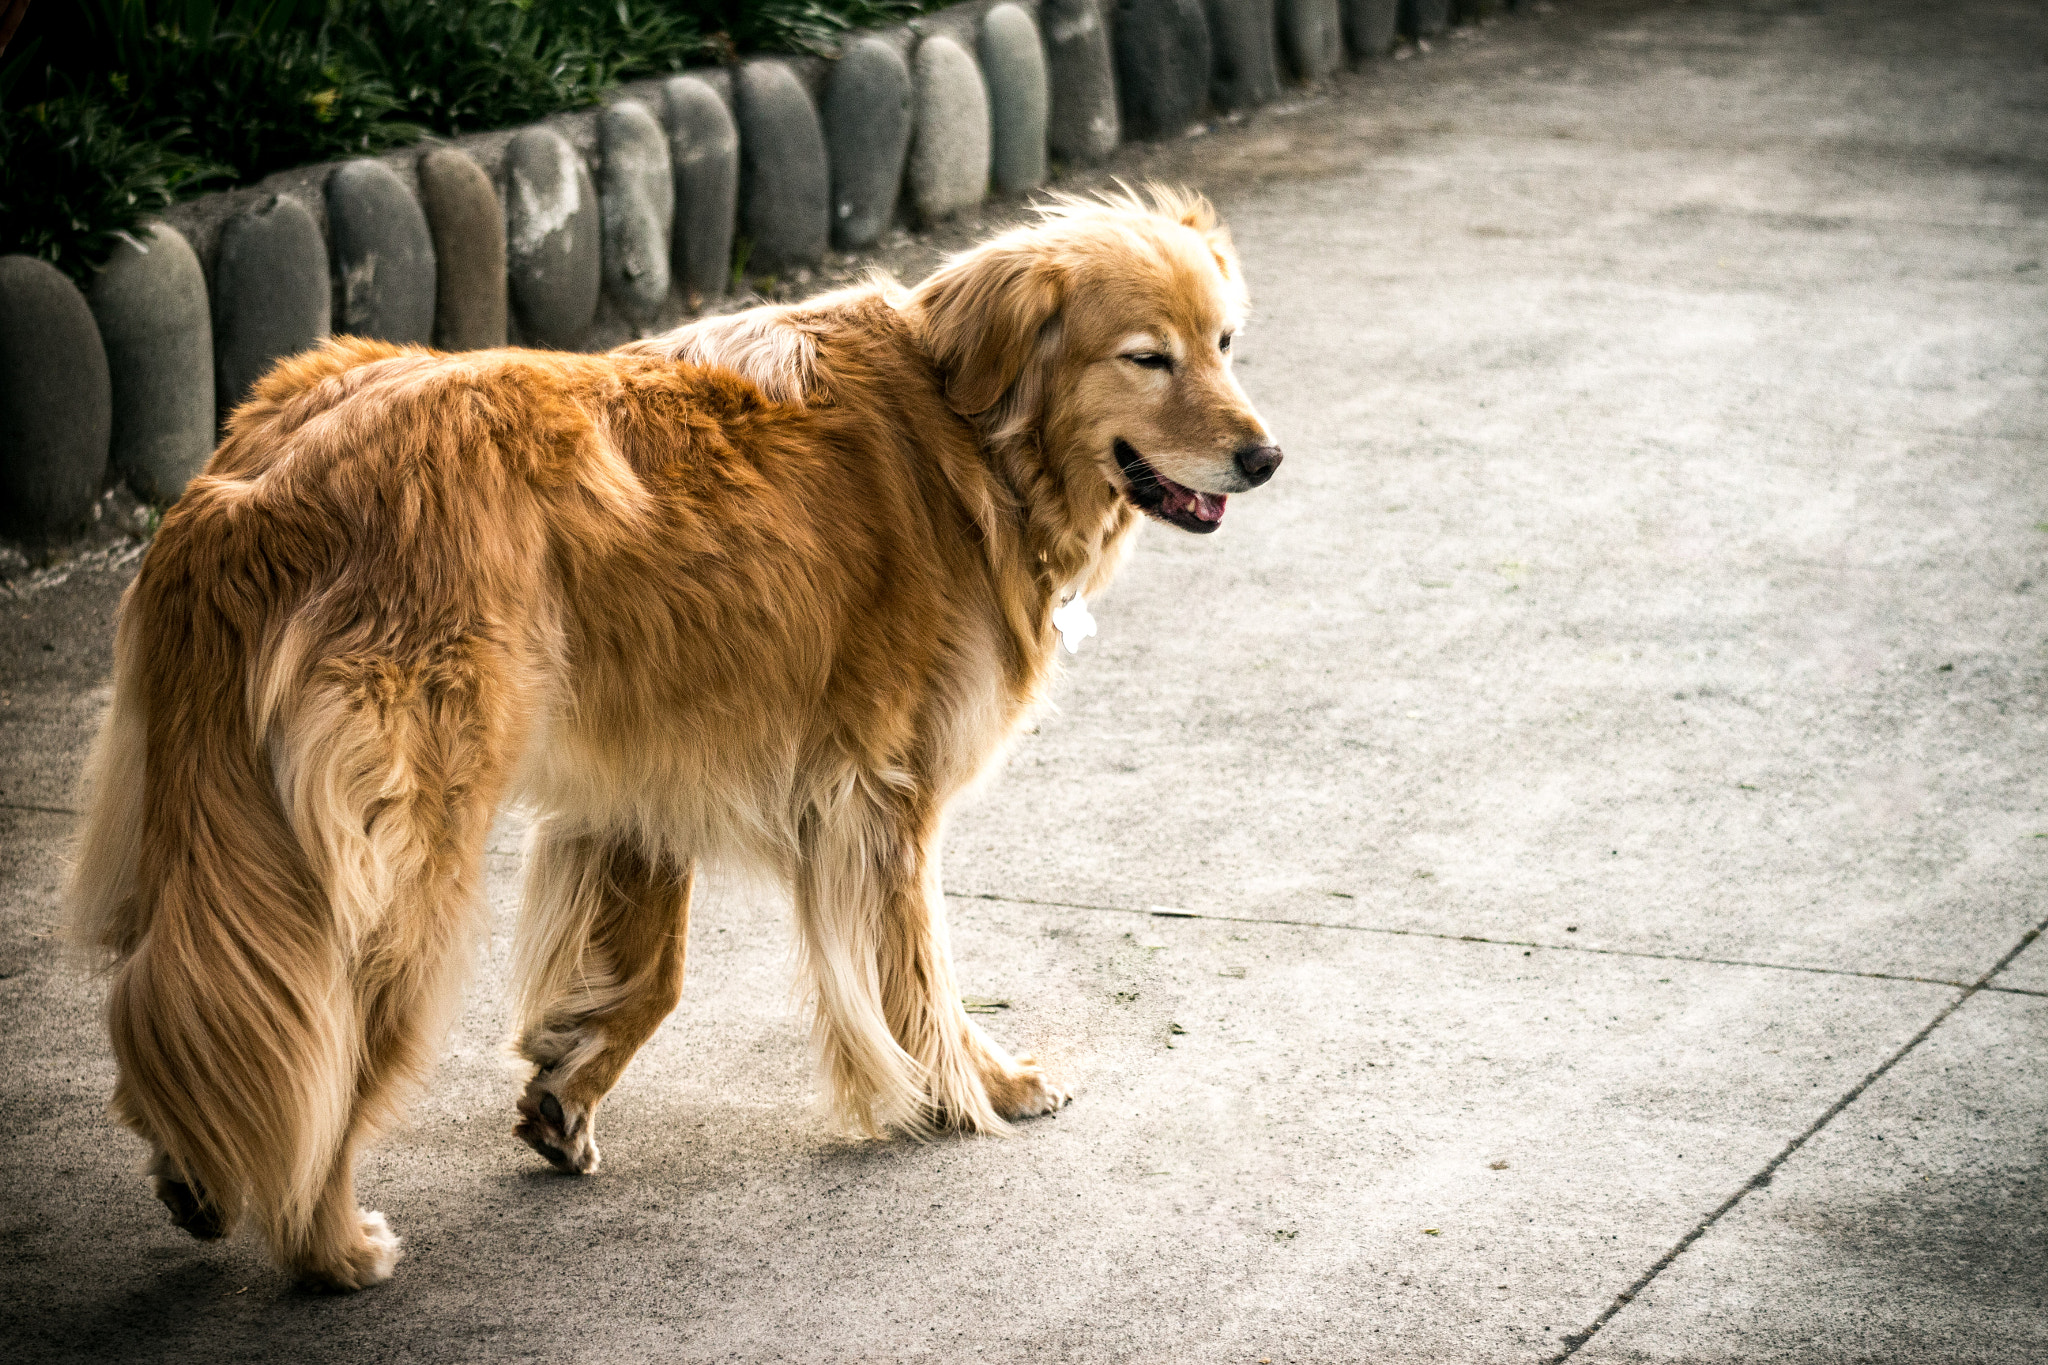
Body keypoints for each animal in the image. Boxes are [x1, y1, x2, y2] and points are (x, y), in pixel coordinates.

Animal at [72, 187, 1277, 1285]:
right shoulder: (881, 793)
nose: (1265, 458)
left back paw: (193, 1170)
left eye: (1224, 344)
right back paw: (329, 1243)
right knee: (326, 1035)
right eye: (1147, 359)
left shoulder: (643, 779)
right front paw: (969, 1089)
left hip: (216, 824)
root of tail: (255, 491)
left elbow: (650, 972)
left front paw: (564, 1088)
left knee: (198, 993)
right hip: (405, 859)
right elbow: (919, 971)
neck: (964, 432)